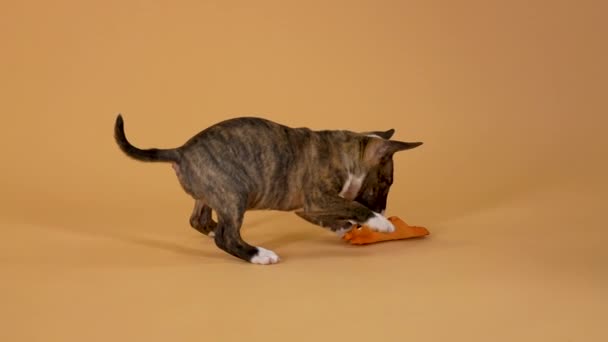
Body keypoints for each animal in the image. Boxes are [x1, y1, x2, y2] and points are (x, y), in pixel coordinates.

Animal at [116, 115, 426, 264]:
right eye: (385, 183)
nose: (385, 210)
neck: (348, 152)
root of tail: (180, 151)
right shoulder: (317, 198)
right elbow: (352, 205)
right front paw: (381, 223)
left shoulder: (307, 207)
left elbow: (335, 214)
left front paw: (345, 228)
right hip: (233, 194)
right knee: (227, 238)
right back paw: (258, 255)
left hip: (210, 194)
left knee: (199, 220)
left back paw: (214, 231)